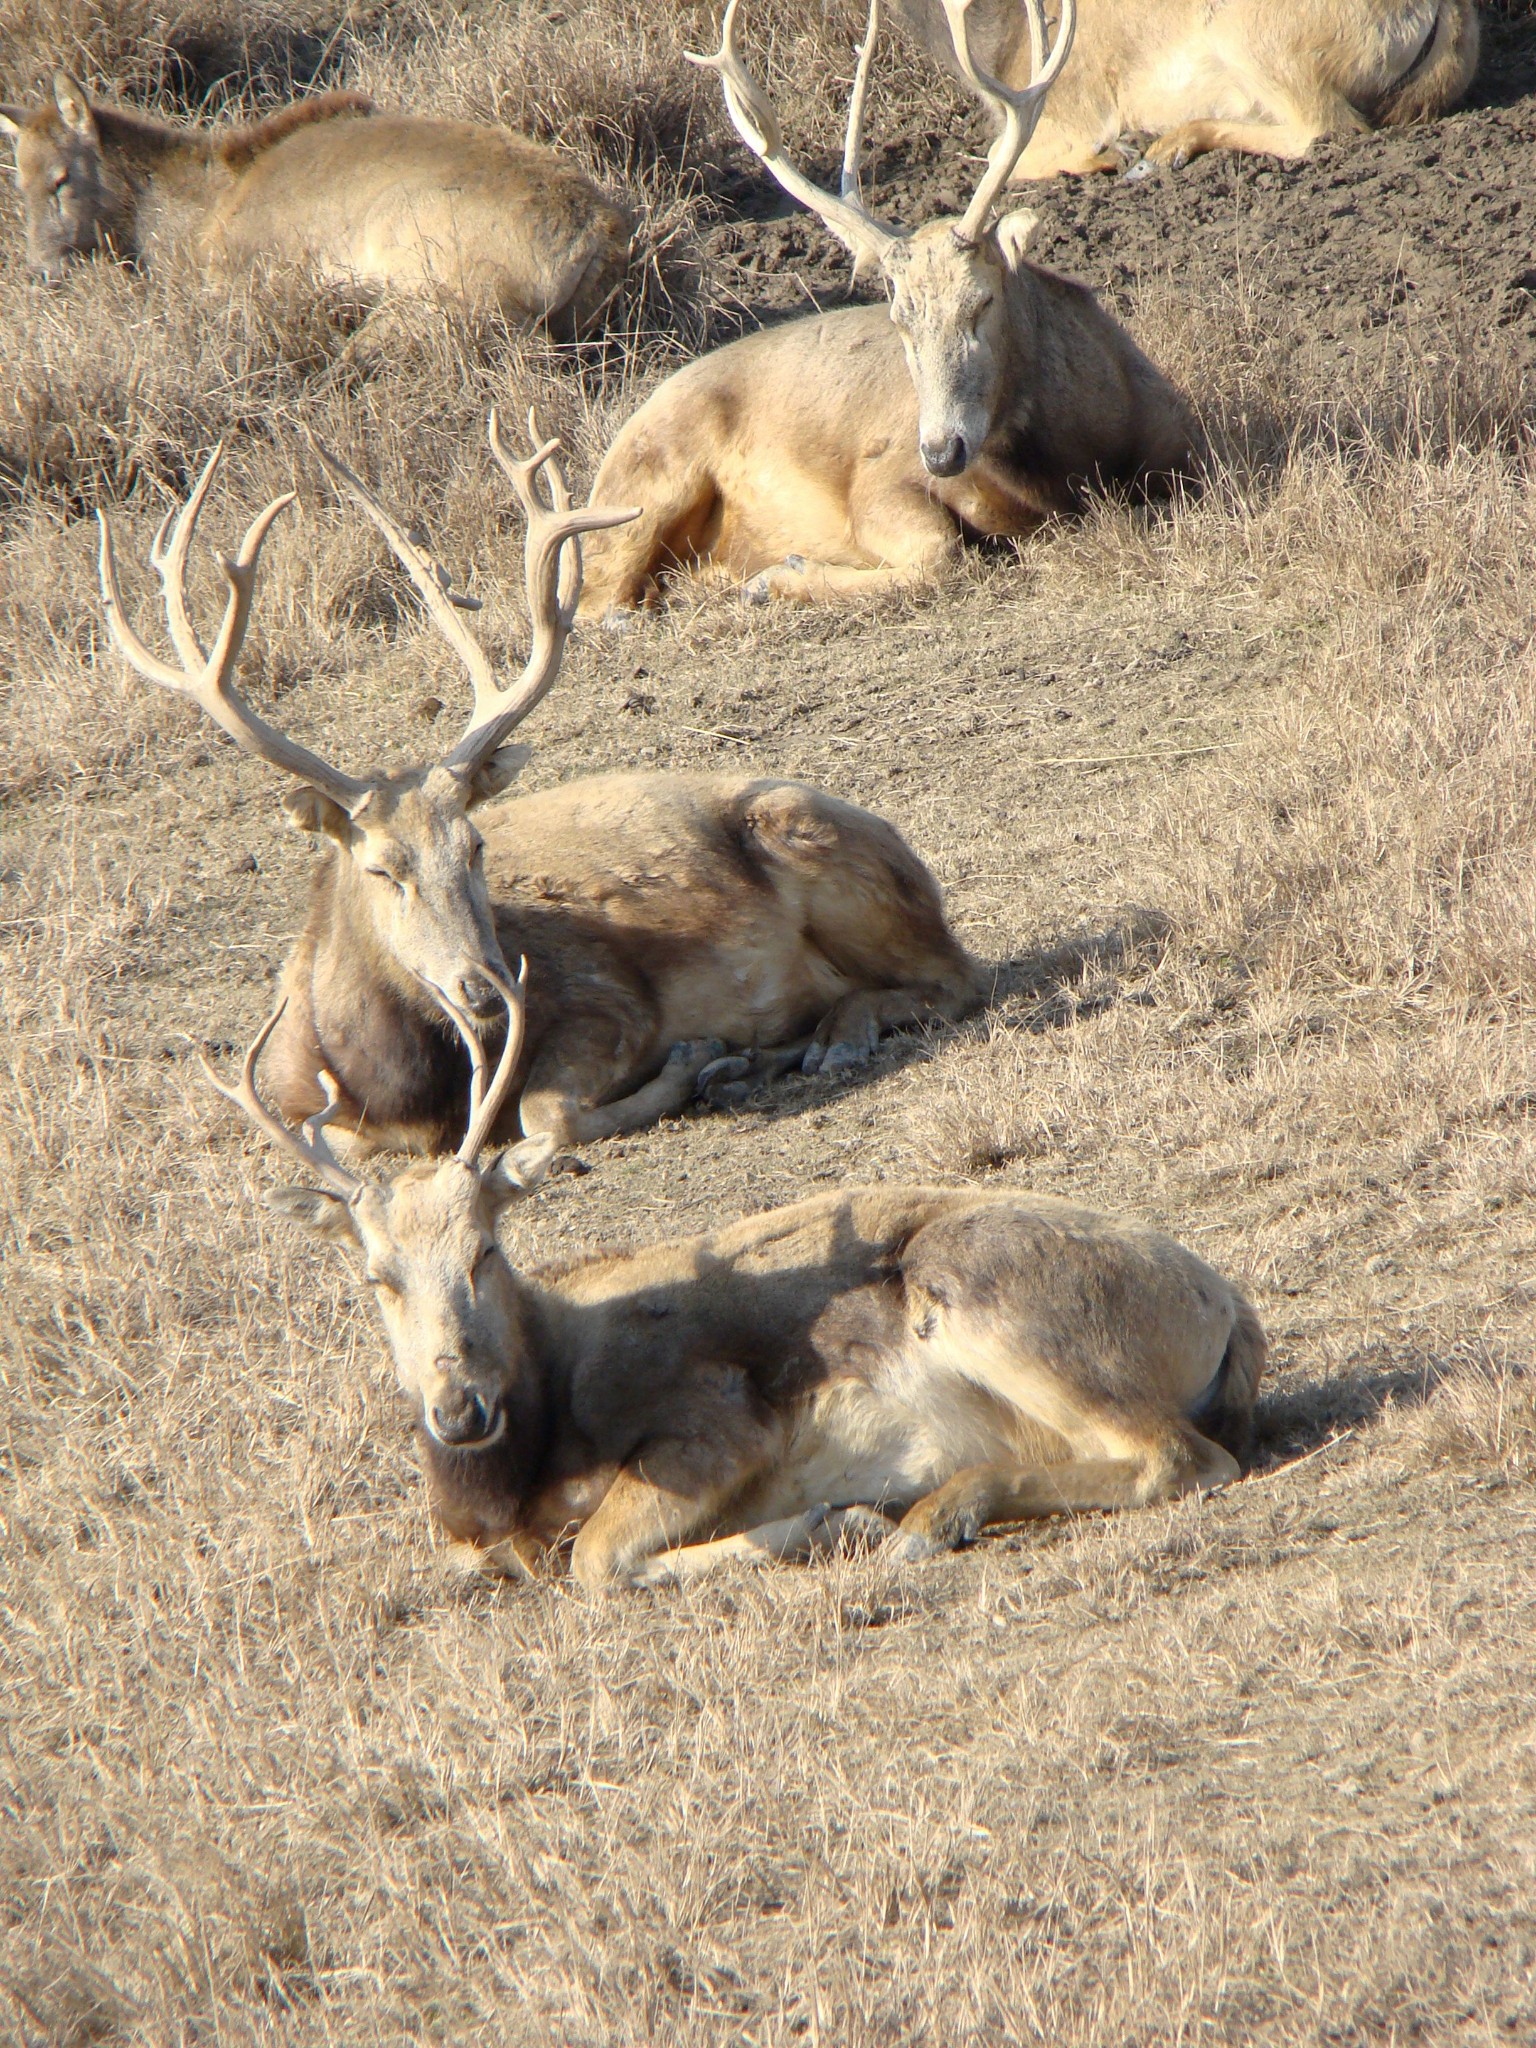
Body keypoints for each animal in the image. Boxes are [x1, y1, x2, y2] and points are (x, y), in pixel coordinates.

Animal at [99, 419, 987, 1155]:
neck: (398, 1089)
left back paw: (827, 1038)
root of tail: (908, 855)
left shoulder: (605, 999)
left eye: (477, 845)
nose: (485, 987)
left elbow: (543, 1116)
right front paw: (717, 1064)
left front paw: (697, 1060)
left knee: (958, 975)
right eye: (382, 868)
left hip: (822, 850)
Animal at [198, 966, 1269, 1589]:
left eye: (486, 1247)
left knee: (1183, 1457)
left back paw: (916, 1521)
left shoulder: (714, 1421)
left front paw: (825, 1520)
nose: (459, 1408)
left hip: (995, 1305)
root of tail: (1228, 1310)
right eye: (375, 1274)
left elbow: (597, 1564)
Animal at [577, 0, 1204, 610]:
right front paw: (781, 576)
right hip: (650, 478)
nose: (942, 452)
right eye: (900, 322)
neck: (1077, 459)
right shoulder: (881, 475)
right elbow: (938, 553)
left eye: (981, 303)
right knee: (597, 599)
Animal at [888, 0, 1482, 174]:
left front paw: (1112, 155)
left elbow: (995, 159)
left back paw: (1161, 148)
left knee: (1325, 129)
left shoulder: (1072, 107)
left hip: (1258, 39)